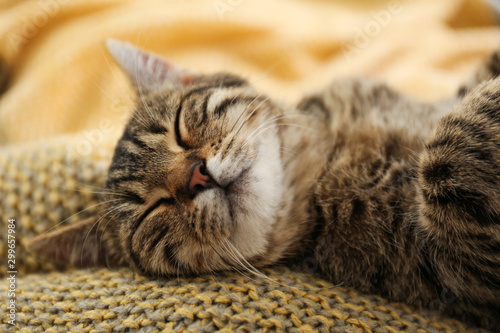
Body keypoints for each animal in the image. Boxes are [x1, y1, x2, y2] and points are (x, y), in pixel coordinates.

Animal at [28, 39, 500, 330]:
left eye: (179, 128)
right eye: (151, 210)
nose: (197, 175)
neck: (324, 158)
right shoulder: (453, 270)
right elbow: (445, 153)